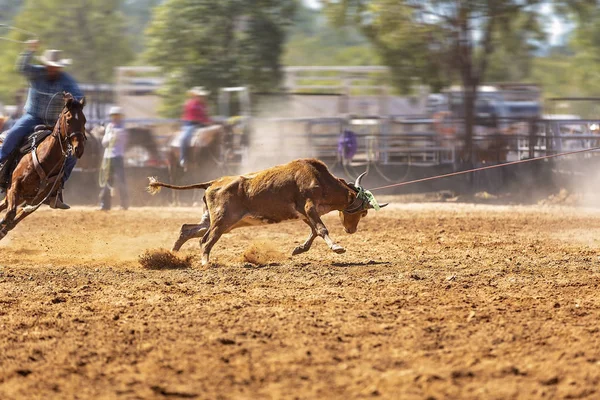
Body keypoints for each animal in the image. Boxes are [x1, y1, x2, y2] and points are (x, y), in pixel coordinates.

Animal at [148, 159, 386, 266]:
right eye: (363, 213)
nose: (351, 230)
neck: (319, 179)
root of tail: (213, 182)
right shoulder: (309, 207)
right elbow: (321, 229)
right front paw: (337, 248)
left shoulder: (304, 214)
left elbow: (313, 232)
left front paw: (299, 249)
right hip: (222, 221)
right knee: (205, 239)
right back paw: (205, 262)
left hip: (215, 220)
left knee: (187, 230)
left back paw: (172, 256)